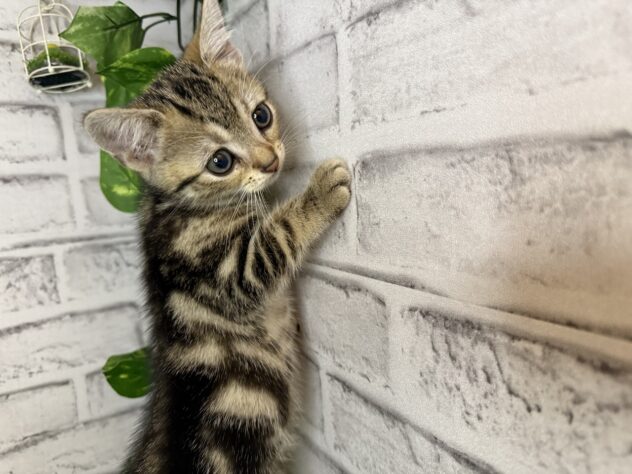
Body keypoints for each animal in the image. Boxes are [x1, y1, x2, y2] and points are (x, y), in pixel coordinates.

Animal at [83, 1, 351, 473]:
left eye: (261, 115)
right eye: (220, 162)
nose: (271, 162)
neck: (181, 206)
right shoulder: (228, 273)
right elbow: (275, 236)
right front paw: (319, 193)